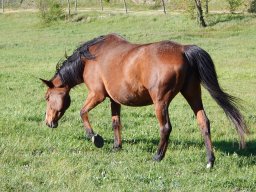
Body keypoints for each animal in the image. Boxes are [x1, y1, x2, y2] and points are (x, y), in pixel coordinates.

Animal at [40, 33, 248, 168]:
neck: (90, 58)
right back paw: (210, 160)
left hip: (161, 102)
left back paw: (158, 156)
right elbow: (116, 123)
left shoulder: (97, 95)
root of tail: (183, 50)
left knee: (166, 128)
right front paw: (116, 146)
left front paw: (95, 138)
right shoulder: (114, 100)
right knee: (204, 122)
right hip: (193, 95)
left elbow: (82, 112)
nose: (48, 122)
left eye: (48, 97)